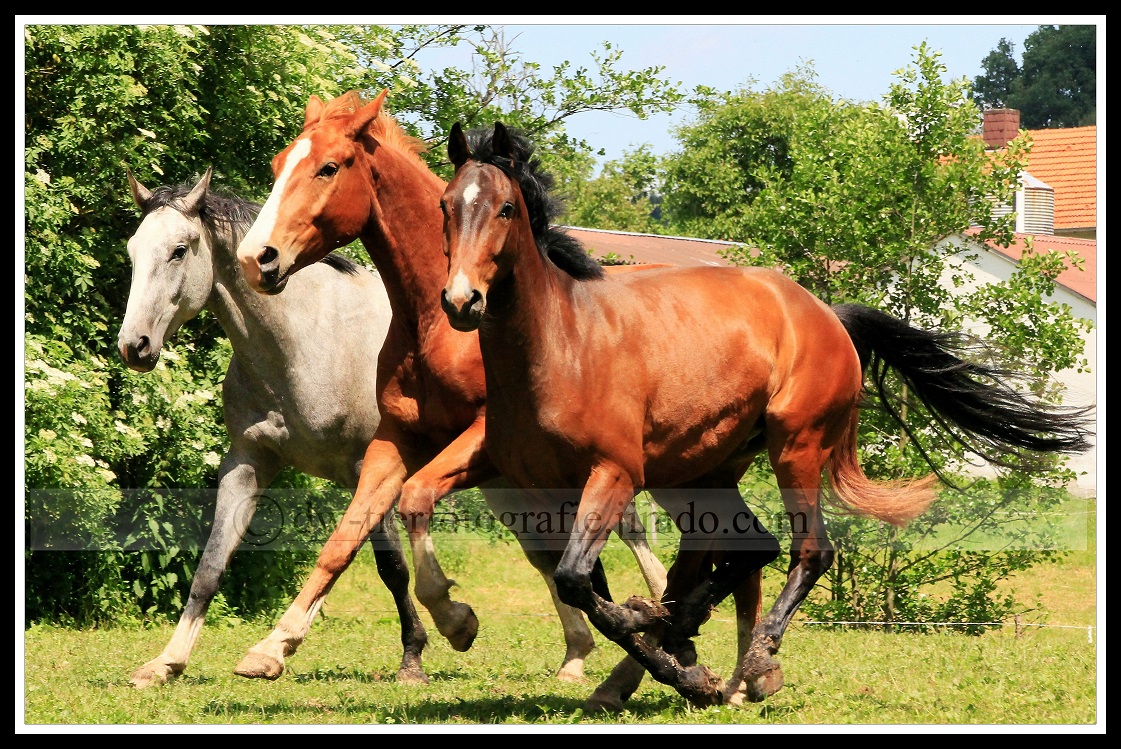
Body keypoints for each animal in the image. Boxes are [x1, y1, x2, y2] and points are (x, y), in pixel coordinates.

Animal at [437, 118, 1094, 708]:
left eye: (504, 209)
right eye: (447, 205)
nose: (461, 300)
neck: (561, 349)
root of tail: (826, 314)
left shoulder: (614, 475)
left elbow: (579, 583)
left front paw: (665, 645)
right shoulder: (550, 493)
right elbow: (582, 589)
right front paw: (675, 659)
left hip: (793, 447)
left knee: (809, 550)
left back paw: (750, 654)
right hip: (702, 473)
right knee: (751, 547)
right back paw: (688, 631)